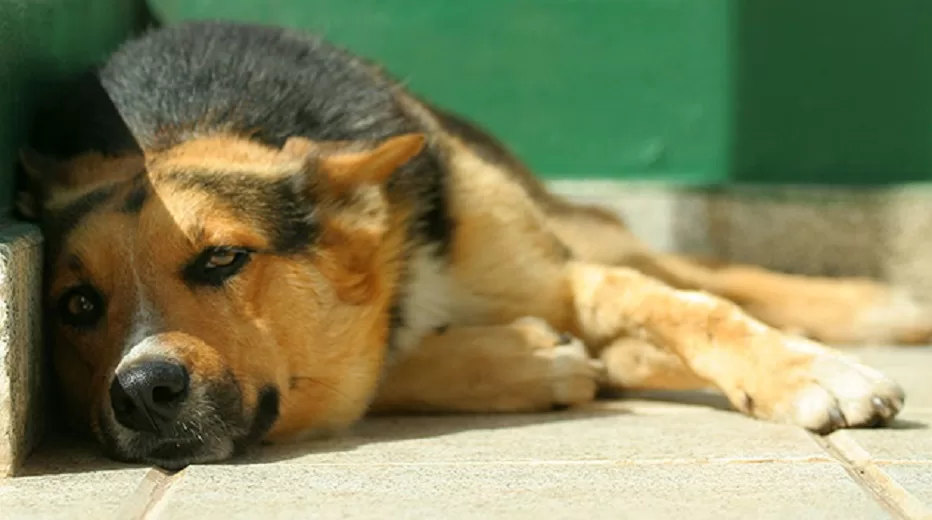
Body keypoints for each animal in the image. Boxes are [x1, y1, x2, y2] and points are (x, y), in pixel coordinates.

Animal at [16, 20, 932, 470]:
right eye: (77, 305)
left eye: (223, 259)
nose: (141, 392)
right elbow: (381, 375)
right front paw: (534, 362)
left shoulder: (565, 275)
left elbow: (690, 306)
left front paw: (809, 371)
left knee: (691, 269)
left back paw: (882, 309)